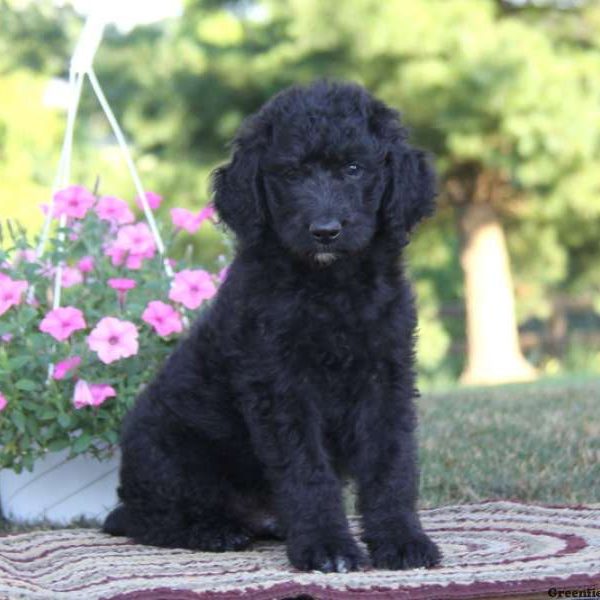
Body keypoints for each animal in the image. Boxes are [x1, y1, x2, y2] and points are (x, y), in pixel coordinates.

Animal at [103, 79, 440, 572]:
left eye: (354, 169)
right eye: (291, 174)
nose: (325, 231)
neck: (330, 288)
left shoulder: (387, 378)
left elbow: (391, 465)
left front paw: (401, 540)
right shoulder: (281, 386)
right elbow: (307, 472)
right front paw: (327, 548)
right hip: (169, 455)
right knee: (142, 519)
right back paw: (215, 532)